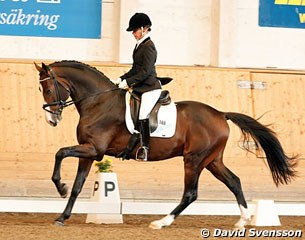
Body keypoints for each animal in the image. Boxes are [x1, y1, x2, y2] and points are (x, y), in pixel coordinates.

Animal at [33, 61, 296, 230]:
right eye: (41, 89)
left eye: (48, 88)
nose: (51, 120)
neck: (98, 102)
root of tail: (221, 114)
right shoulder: (89, 151)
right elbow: (78, 186)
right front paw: (62, 215)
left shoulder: (93, 149)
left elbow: (60, 153)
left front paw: (60, 187)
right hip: (212, 160)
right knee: (234, 181)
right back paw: (242, 221)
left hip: (194, 160)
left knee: (191, 193)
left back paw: (161, 222)